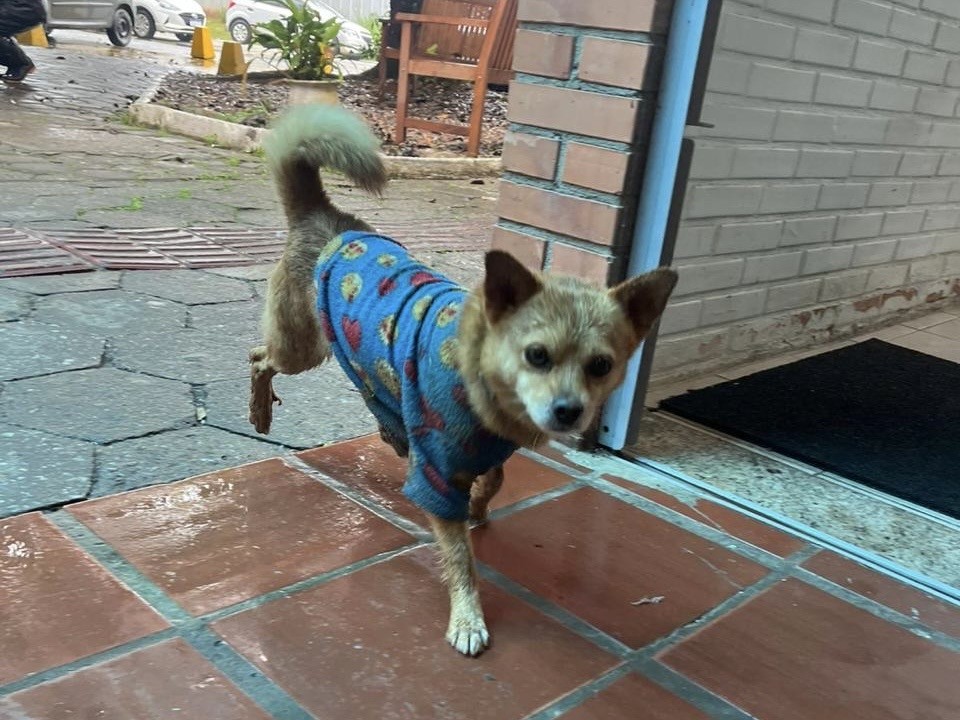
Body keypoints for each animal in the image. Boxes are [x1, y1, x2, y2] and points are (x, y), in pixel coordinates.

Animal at [248, 105, 678, 657]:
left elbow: (494, 479)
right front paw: (468, 617)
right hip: (302, 348)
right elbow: (460, 557)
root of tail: (327, 219)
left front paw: (477, 506)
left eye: (601, 365)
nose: (569, 411)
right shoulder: (435, 472)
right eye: (536, 355)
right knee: (259, 357)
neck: (484, 389)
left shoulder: (486, 452)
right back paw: (260, 412)